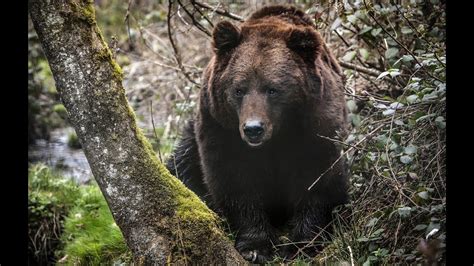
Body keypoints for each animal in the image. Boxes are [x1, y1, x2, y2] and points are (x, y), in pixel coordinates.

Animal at [167, 5, 348, 262]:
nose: (253, 129)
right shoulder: (221, 128)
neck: (279, 134)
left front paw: (302, 244)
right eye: (239, 89)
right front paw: (255, 246)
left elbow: (317, 178)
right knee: (181, 166)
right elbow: (235, 181)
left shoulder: (317, 125)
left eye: (272, 89)